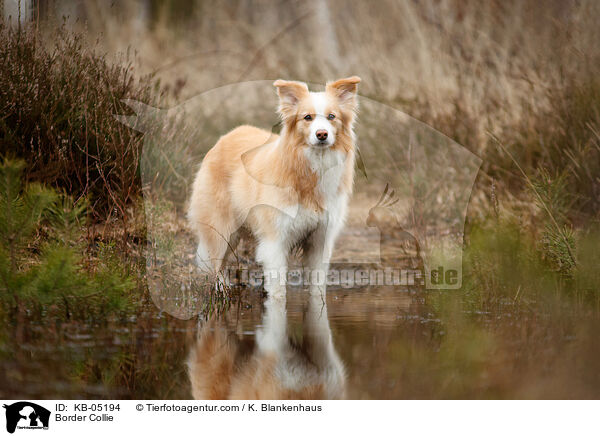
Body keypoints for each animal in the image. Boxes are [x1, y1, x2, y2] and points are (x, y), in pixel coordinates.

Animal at [188, 76, 358, 298]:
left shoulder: (320, 238)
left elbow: (317, 285)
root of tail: (228, 136)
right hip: (221, 227)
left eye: (332, 117)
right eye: (307, 117)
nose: (322, 134)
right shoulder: (276, 238)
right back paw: (221, 289)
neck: (312, 168)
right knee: (217, 260)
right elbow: (278, 289)